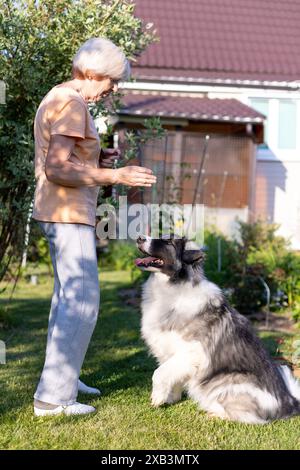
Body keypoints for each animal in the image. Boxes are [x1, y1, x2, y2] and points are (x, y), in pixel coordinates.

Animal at [135, 237, 300, 424]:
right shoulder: (173, 355)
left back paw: (215, 414)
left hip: (227, 383)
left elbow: (159, 373)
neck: (173, 288)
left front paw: (157, 398)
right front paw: (171, 398)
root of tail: (289, 404)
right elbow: (173, 376)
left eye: (169, 242)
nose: (140, 238)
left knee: (247, 417)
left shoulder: (192, 352)